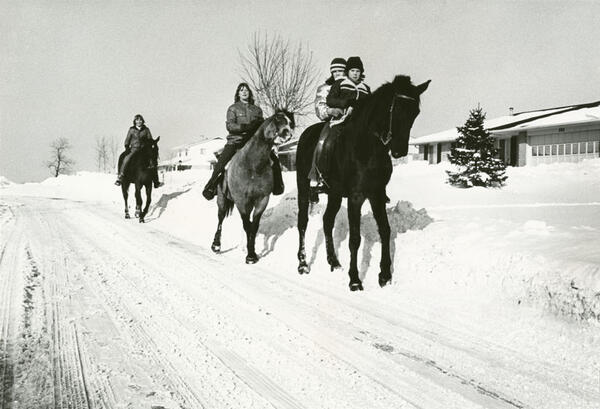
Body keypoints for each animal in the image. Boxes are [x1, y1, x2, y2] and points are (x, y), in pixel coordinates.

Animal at [212, 110, 294, 262]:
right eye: (277, 119)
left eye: (290, 122)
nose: (287, 133)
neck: (252, 166)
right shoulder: (241, 201)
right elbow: (247, 225)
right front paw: (250, 254)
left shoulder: (262, 199)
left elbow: (253, 226)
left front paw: (251, 253)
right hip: (222, 199)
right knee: (220, 219)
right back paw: (216, 245)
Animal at [296, 74, 428, 290]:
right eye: (396, 109)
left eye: (415, 112)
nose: (400, 151)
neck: (368, 147)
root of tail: (307, 134)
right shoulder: (356, 197)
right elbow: (355, 238)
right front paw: (355, 280)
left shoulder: (377, 195)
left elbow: (385, 230)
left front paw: (384, 275)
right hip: (303, 186)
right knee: (302, 223)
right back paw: (302, 263)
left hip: (334, 194)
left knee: (327, 221)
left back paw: (333, 261)